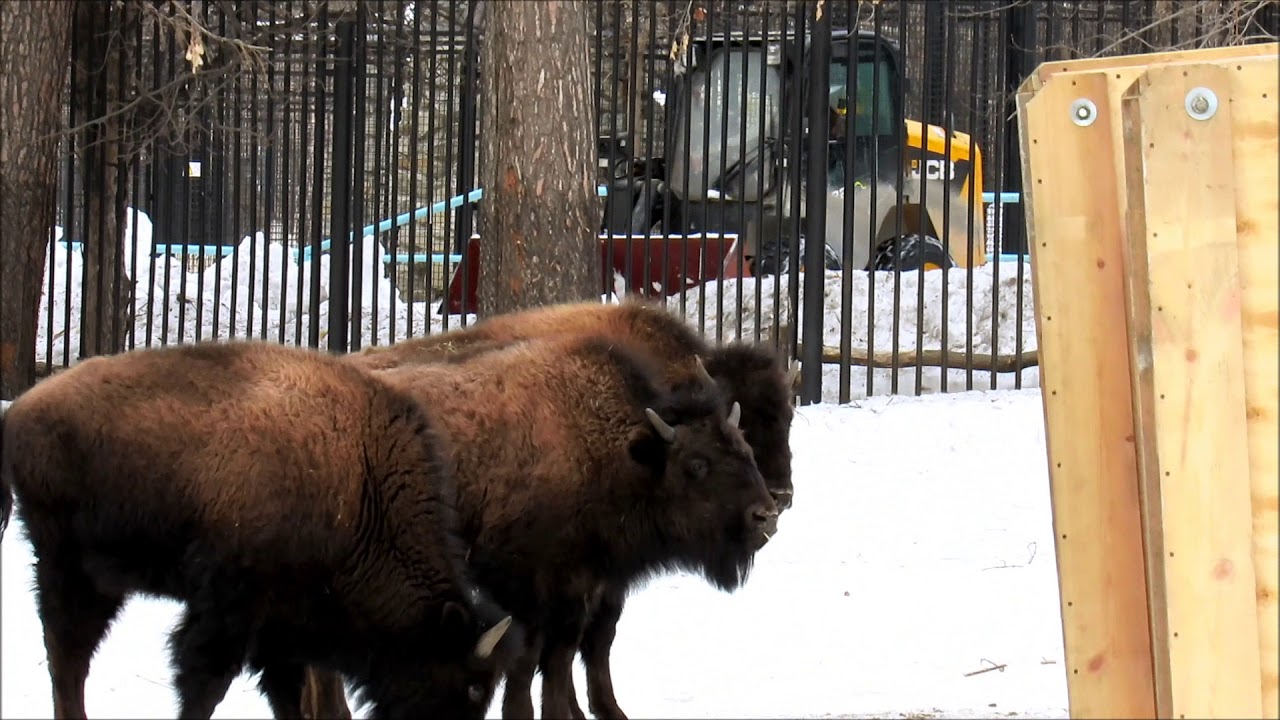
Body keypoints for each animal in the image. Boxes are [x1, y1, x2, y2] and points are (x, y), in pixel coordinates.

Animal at [1, 340, 519, 717]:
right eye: (473, 688)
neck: (361, 480)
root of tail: (20, 410)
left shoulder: (286, 629)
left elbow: (284, 693)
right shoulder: (232, 610)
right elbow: (204, 683)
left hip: (98, 579)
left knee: (70, 655)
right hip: (69, 567)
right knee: (68, 656)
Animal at [340, 298, 798, 717]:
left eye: (786, 418)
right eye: (697, 465)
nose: (770, 509)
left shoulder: (586, 584)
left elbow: (568, 653)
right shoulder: (532, 589)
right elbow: (546, 655)